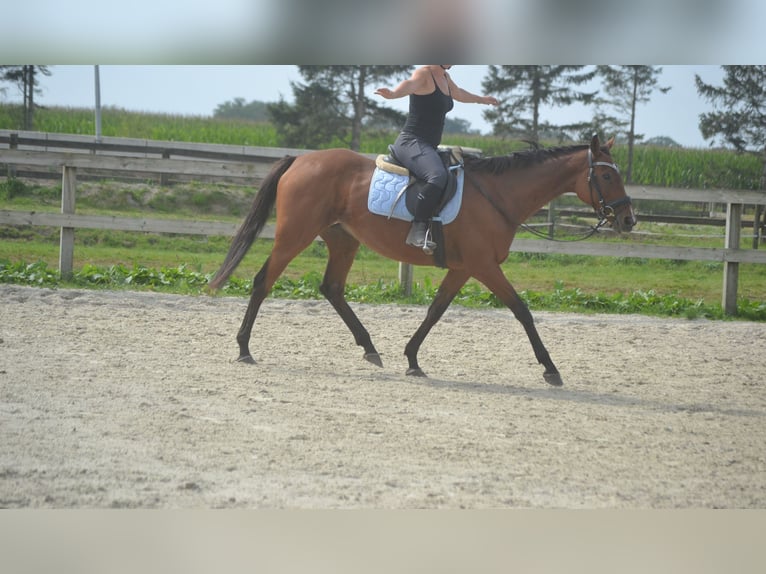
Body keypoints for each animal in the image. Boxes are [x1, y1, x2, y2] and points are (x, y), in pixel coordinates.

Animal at [210, 134, 636, 388]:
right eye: (606, 176)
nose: (629, 220)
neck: (497, 194)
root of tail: (301, 160)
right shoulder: (484, 266)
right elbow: (522, 311)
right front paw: (550, 369)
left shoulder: (464, 269)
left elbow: (435, 311)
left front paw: (412, 358)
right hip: (294, 236)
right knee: (263, 281)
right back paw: (244, 348)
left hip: (343, 241)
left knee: (332, 288)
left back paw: (370, 348)